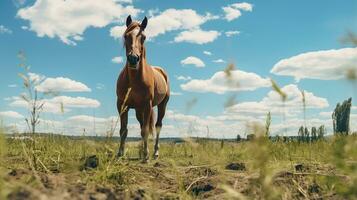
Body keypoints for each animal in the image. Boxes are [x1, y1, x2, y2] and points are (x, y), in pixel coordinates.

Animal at [114, 15, 169, 162]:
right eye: (126, 36)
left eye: (143, 37)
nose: (133, 59)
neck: (135, 80)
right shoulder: (122, 105)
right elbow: (123, 130)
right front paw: (120, 153)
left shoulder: (147, 105)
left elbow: (145, 130)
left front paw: (146, 155)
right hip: (139, 110)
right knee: (142, 125)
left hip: (162, 105)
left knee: (157, 126)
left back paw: (155, 152)